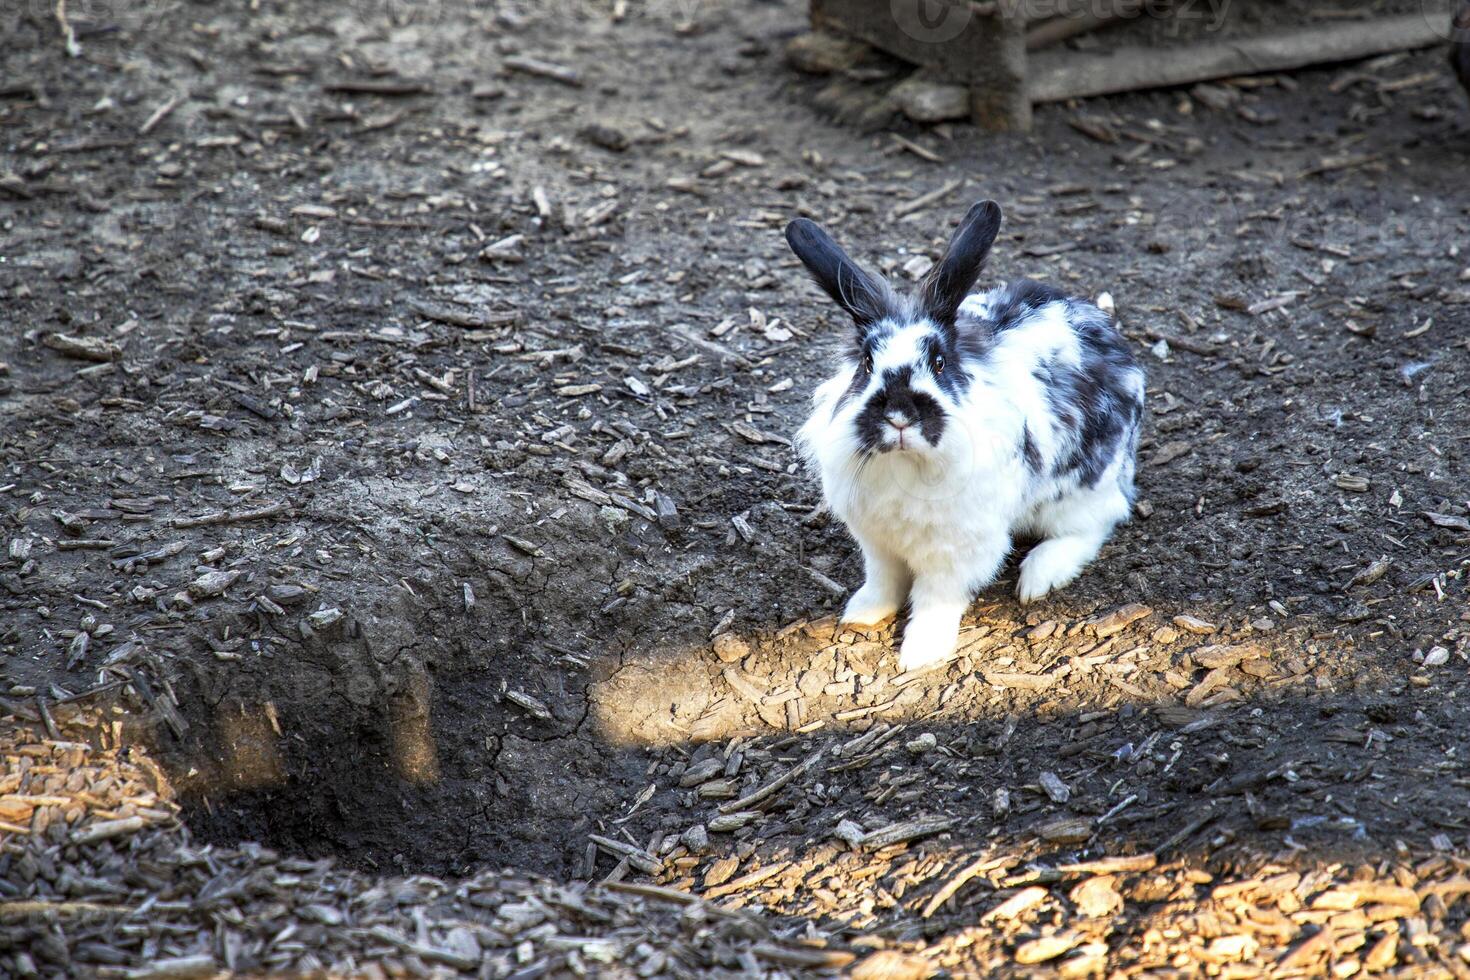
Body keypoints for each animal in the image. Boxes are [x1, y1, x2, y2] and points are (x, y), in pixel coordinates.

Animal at [787, 199, 1140, 675]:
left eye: (939, 362)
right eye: (866, 363)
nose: (899, 416)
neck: (906, 465)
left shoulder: (956, 550)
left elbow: (935, 599)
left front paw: (920, 653)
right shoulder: (877, 542)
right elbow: (883, 580)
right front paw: (862, 614)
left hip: (1080, 489)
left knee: (1096, 523)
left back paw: (1039, 576)